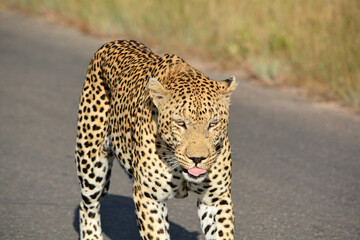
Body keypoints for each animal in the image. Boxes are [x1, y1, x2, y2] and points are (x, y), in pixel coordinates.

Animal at [74, 40, 236, 239]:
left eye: (213, 123)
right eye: (180, 123)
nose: (197, 159)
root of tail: (113, 42)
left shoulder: (216, 199)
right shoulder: (148, 196)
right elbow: (157, 233)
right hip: (91, 163)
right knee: (88, 204)